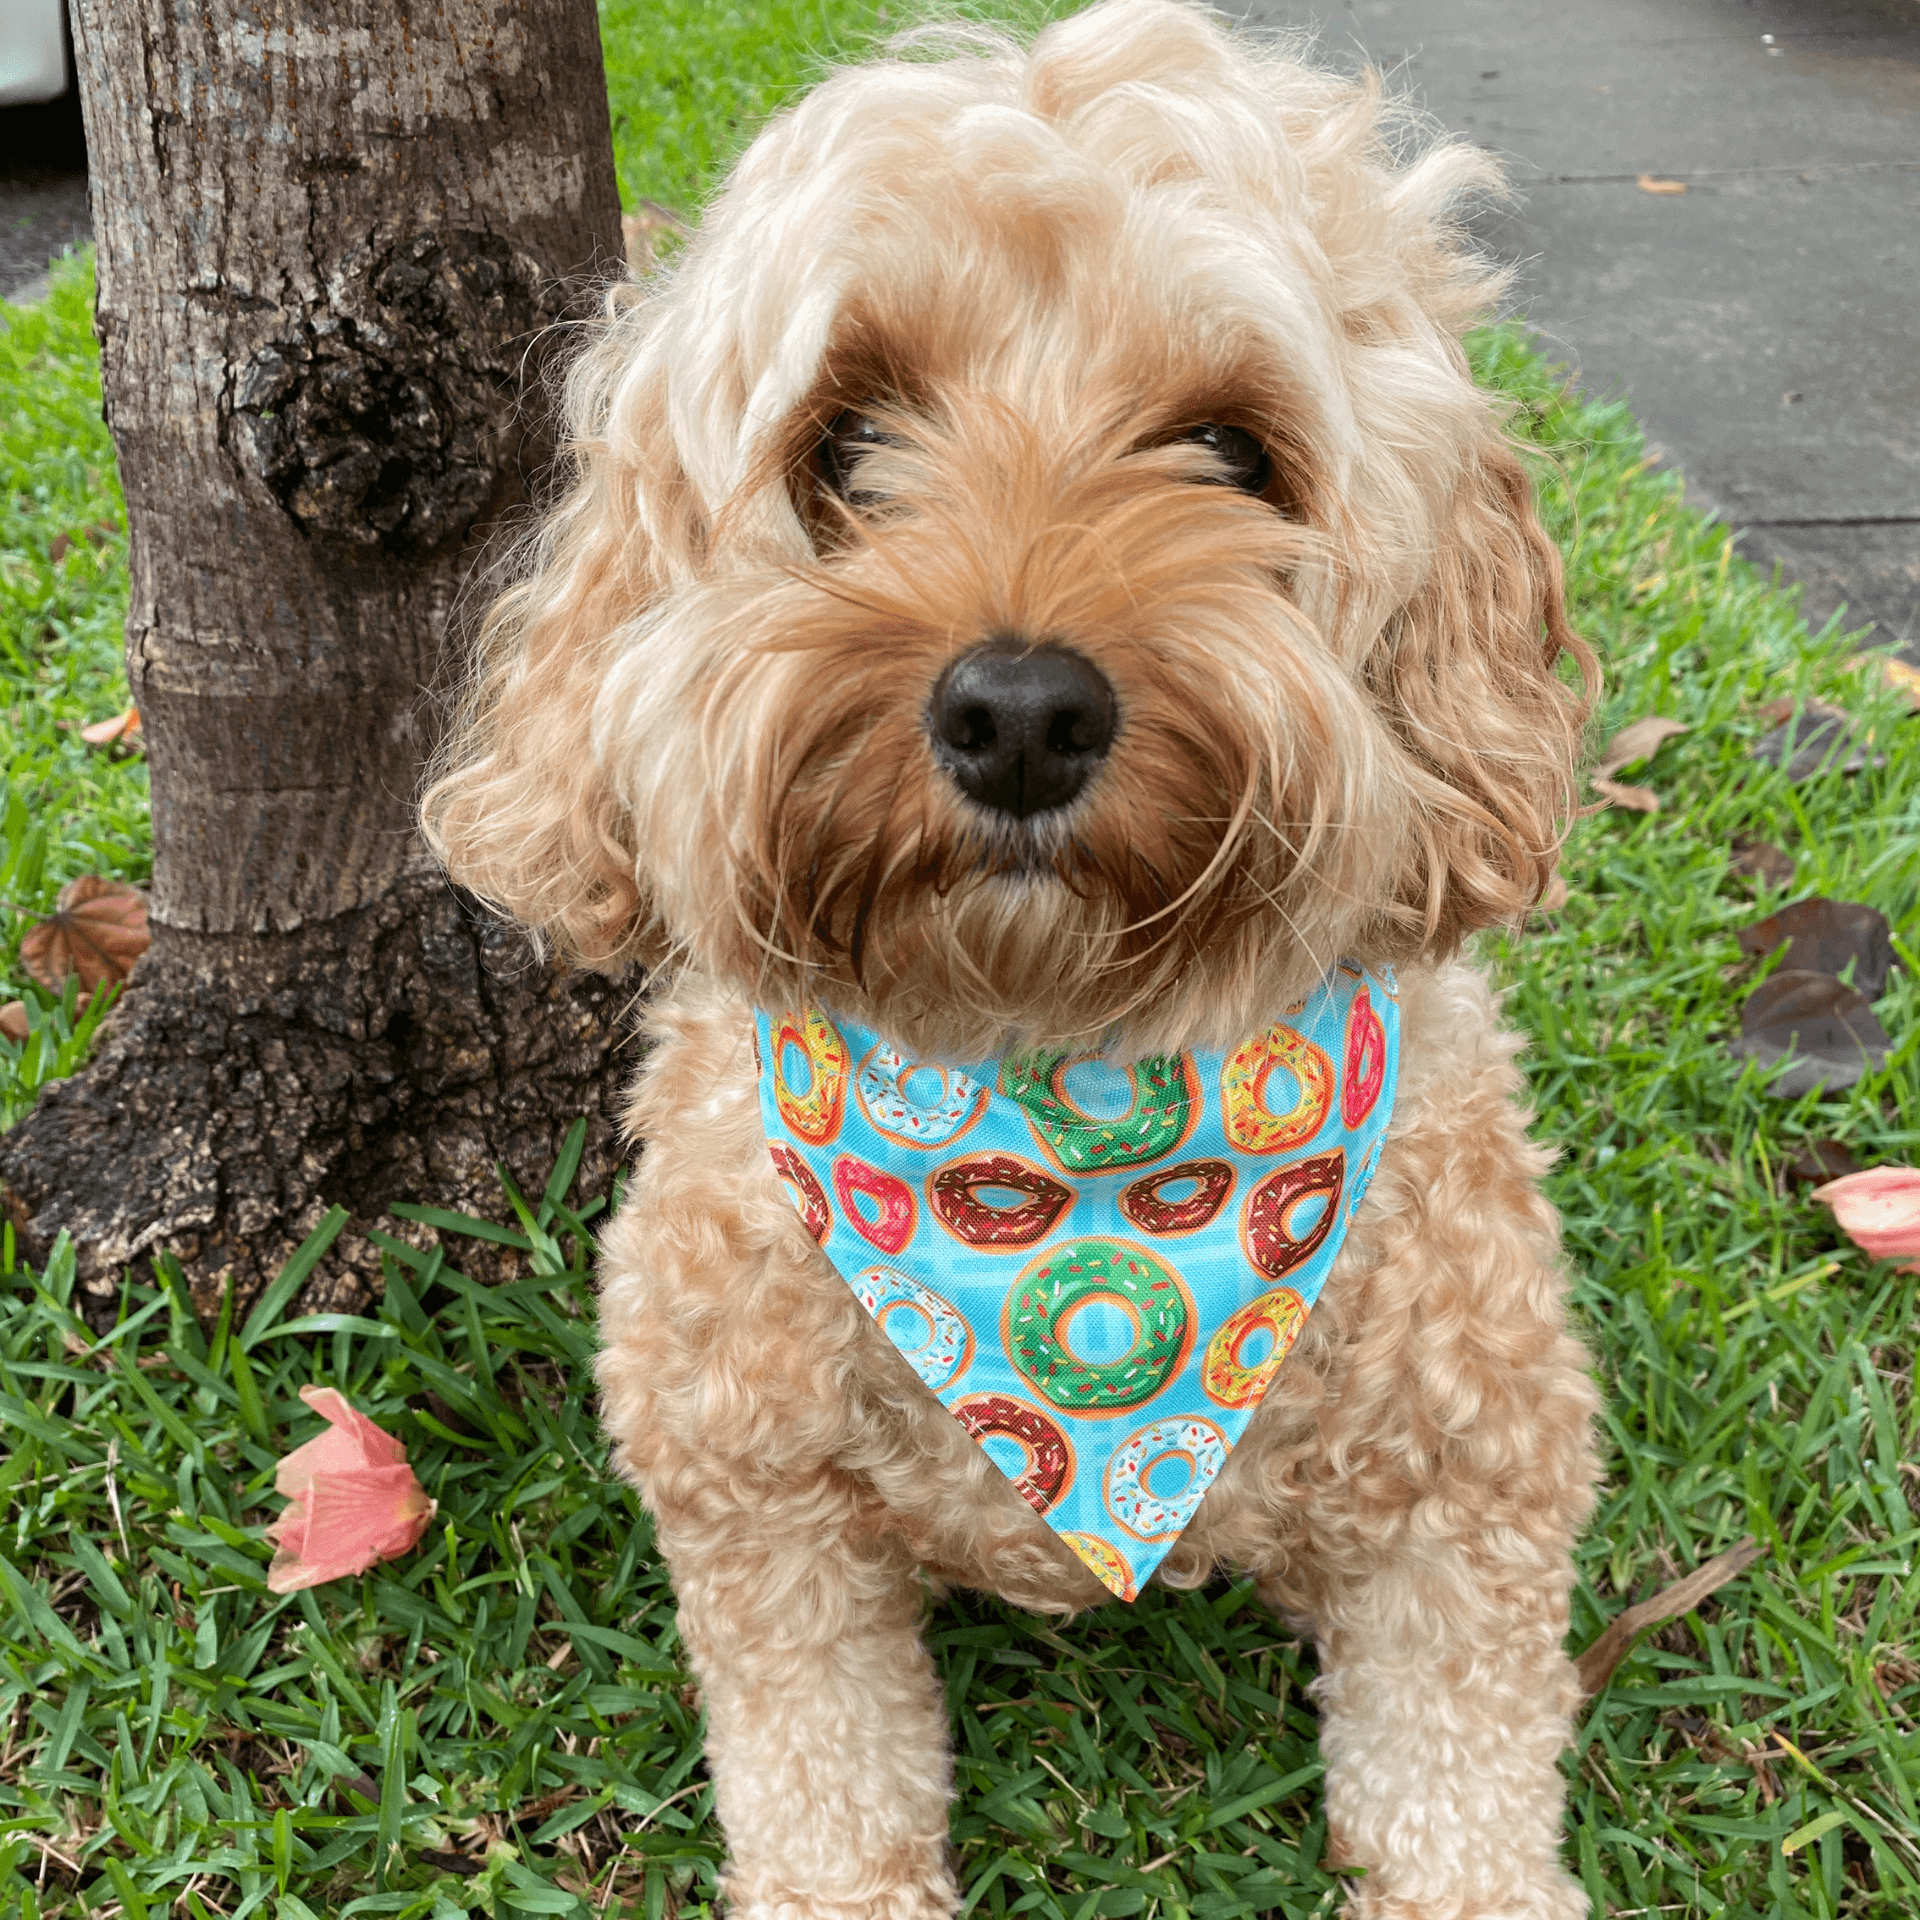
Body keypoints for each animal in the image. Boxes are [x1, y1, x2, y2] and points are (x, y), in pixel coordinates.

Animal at [424, 7, 1605, 1912]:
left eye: (1231, 450)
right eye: (846, 441)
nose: (1024, 713)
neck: (1053, 1086)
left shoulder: (1476, 1477)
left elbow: (1461, 1785)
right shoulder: (757, 1506)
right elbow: (824, 1780)